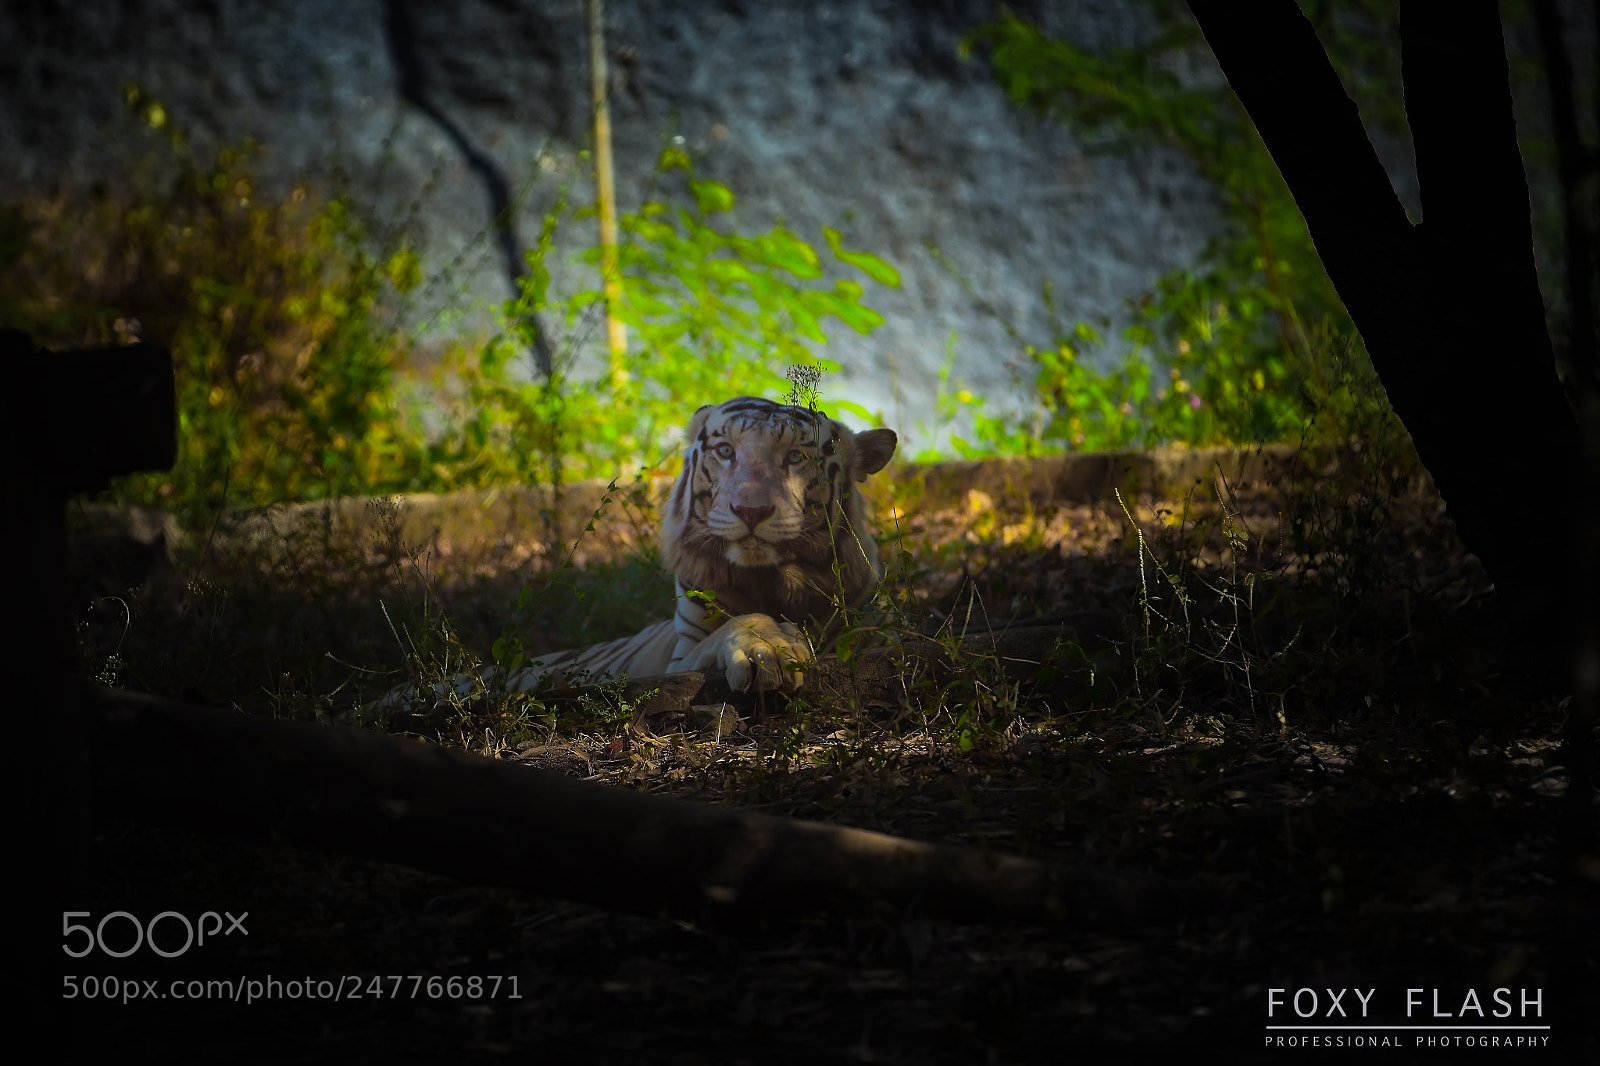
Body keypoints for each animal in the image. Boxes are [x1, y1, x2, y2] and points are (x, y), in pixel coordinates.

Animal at [505, 396, 898, 694]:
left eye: (795, 457)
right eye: (725, 451)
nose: (750, 510)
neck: (775, 580)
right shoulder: (682, 654)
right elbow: (740, 623)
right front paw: (770, 650)